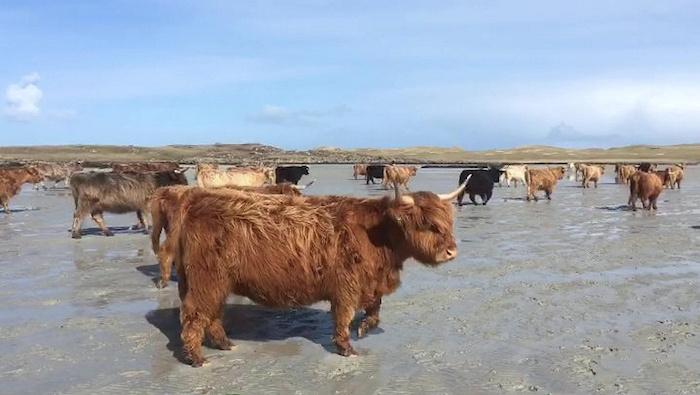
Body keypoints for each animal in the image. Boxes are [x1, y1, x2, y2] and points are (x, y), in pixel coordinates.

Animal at [167, 183, 468, 368]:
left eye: (448, 222)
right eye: (428, 225)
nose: (452, 251)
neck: (379, 236)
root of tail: (196, 199)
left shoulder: (371, 283)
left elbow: (374, 311)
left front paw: (363, 328)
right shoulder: (347, 286)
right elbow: (344, 317)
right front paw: (347, 348)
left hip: (216, 283)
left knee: (213, 315)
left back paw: (226, 345)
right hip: (206, 280)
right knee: (194, 316)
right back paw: (197, 358)